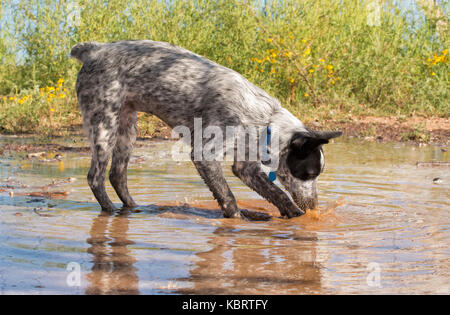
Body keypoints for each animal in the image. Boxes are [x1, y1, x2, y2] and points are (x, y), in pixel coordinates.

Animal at [71, 40, 342, 220]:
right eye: (308, 174)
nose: (314, 206)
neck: (265, 118)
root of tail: (93, 50)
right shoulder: (205, 155)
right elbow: (227, 195)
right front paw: (239, 218)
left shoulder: (245, 167)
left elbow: (277, 193)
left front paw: (295, 216)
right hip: (104, 126)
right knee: (95, 177)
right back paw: (109, 210)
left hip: (127, 130)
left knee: (117, 175)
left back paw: (132, 208)